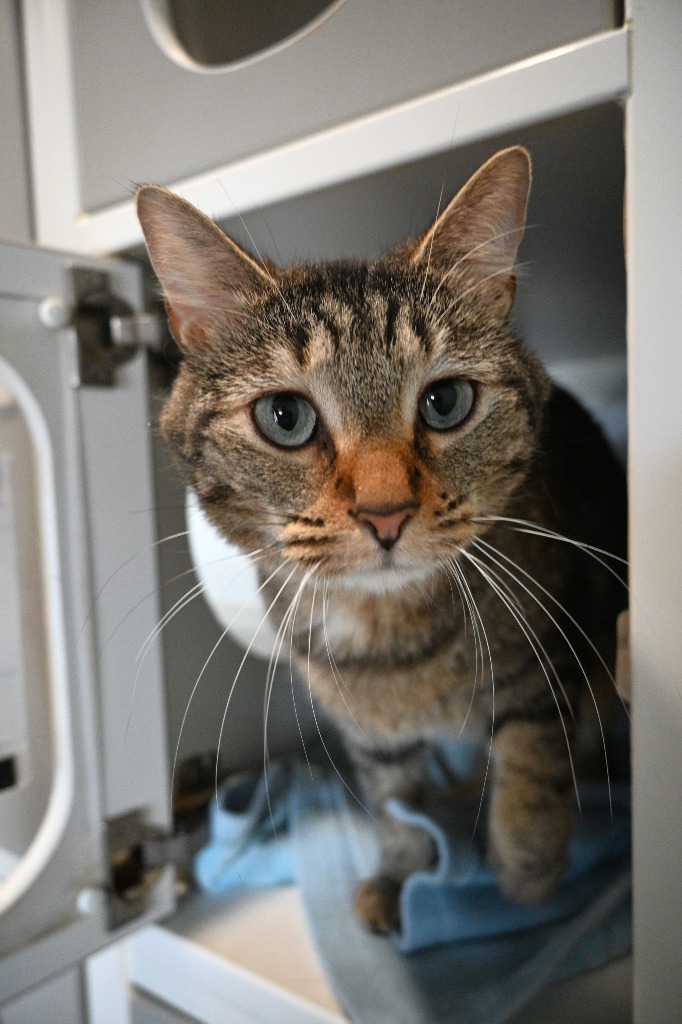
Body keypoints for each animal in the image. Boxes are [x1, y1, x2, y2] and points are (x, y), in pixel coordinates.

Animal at [135, 148, 622, 933]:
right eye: (285, 417)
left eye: (445, 402)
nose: (385, 513)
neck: (392, 640)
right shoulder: (369, 729)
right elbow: (395, 805)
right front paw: (406, 872)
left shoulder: (548, 648)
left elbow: (533, 757)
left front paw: (526, 867)